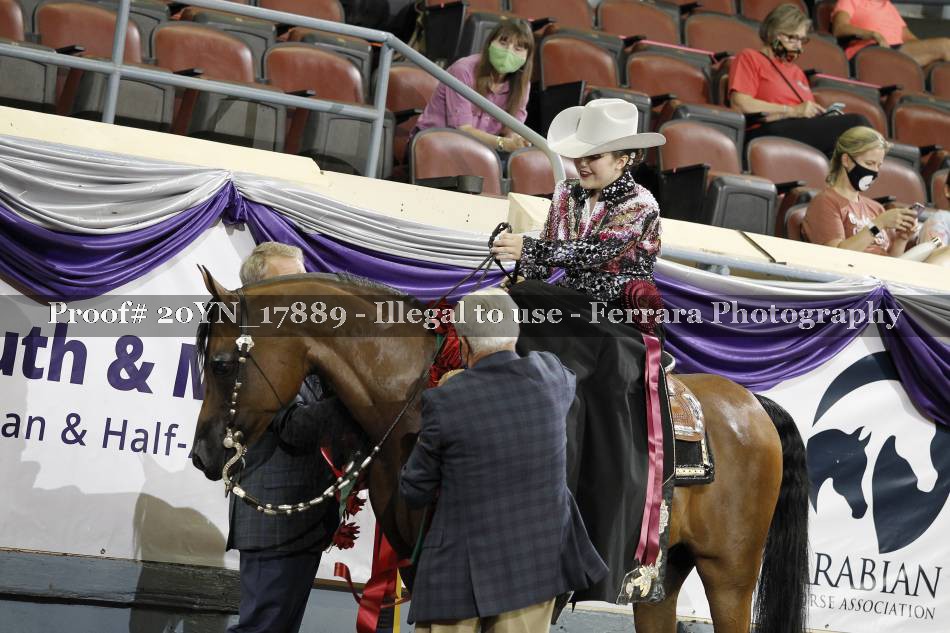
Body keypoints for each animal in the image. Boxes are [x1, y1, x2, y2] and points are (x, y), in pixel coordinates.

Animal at [190, 269, 810, 633]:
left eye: (220, 363)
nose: (201, 454)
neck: (413, 386)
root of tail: (751, 403)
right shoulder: (419, 563)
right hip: (663, 575)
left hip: (730, 574)